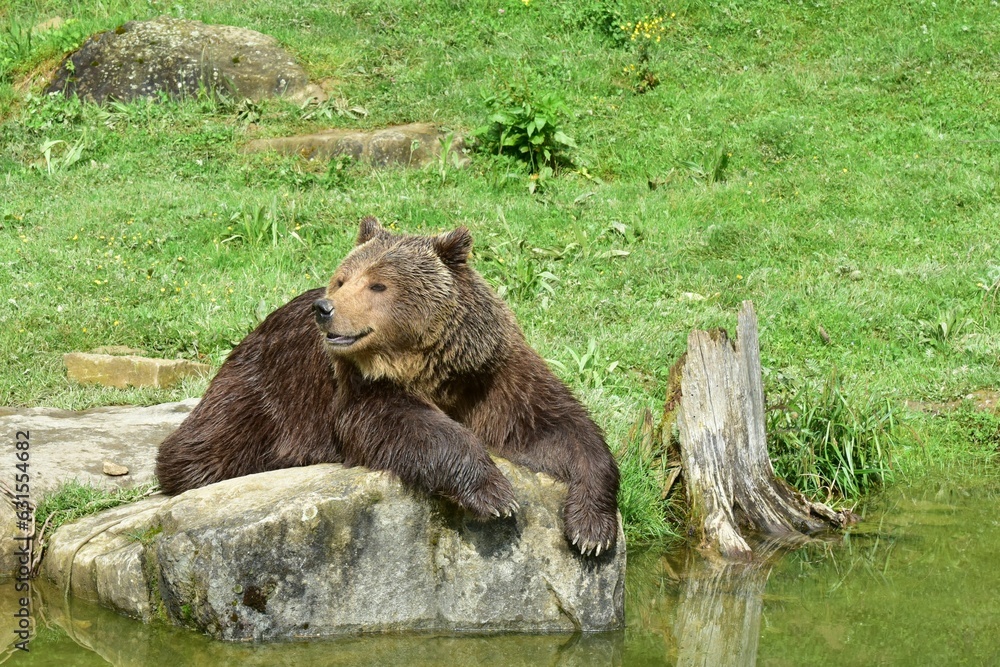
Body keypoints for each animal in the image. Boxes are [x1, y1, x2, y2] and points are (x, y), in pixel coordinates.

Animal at [156, 217, 620, 556]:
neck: (429, 366)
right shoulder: (358, 387)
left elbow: (557, 426)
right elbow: (404, 425)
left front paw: (591, 530)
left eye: (377, 284)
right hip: (263, 389)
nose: (324, 308)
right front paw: (494, 493)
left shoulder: (491, 373)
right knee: (203, 447)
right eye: (343, 279)